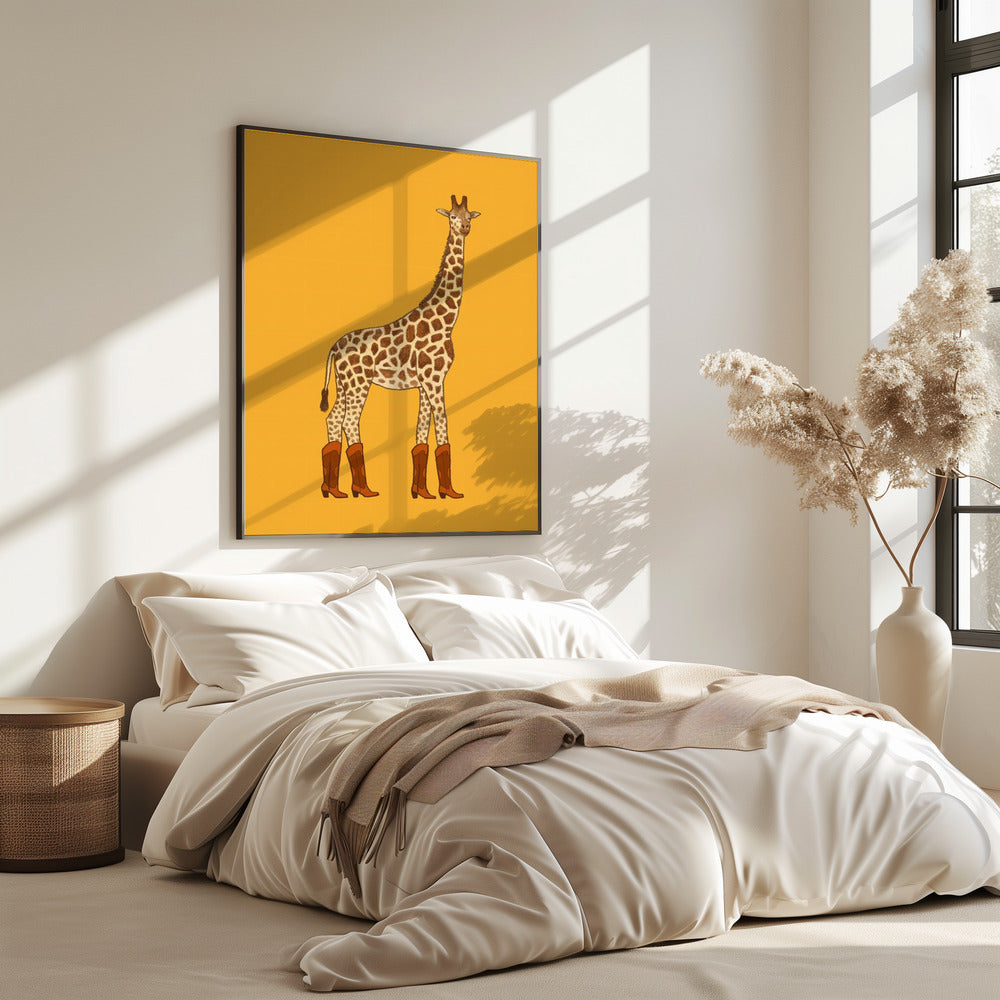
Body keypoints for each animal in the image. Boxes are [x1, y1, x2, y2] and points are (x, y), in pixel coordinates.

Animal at [319, 194, 480, 500]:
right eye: (452, 216)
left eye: (469, 216)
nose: (465, 228)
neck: (447, 321)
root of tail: (334, 347)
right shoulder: (434, 379)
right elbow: (442, 426)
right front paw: (449, 492)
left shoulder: (427, 382)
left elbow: (421, 433)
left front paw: (422, 492)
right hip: (359, 383)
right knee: (348, 421)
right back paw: (363, 489)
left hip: (344, 384)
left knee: (333, 420)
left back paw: (334, 490)